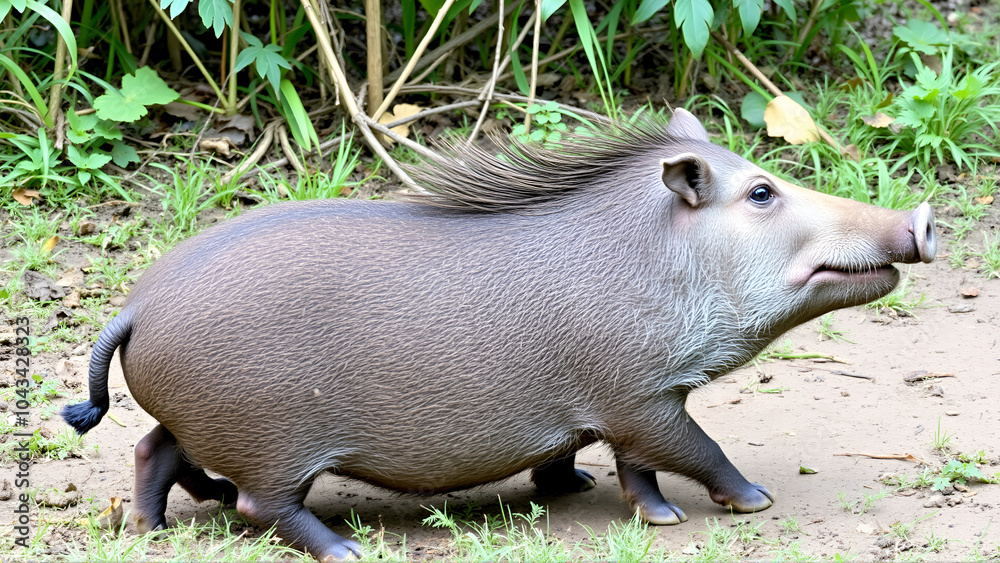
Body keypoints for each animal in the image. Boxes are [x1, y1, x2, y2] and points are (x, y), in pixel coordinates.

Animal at [63, 109, 936, 561]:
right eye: (761, 192)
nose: (921, 219)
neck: (657, 255)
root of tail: (136, 307)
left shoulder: (627, 405)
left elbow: (630, 468)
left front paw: (613, 501)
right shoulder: (643, 398)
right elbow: (696, 449)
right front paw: (754, 501)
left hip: (197, 421)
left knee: (153, 450)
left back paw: (150, 528)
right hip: (273, 440)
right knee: (258, 502)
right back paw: (343, 550)